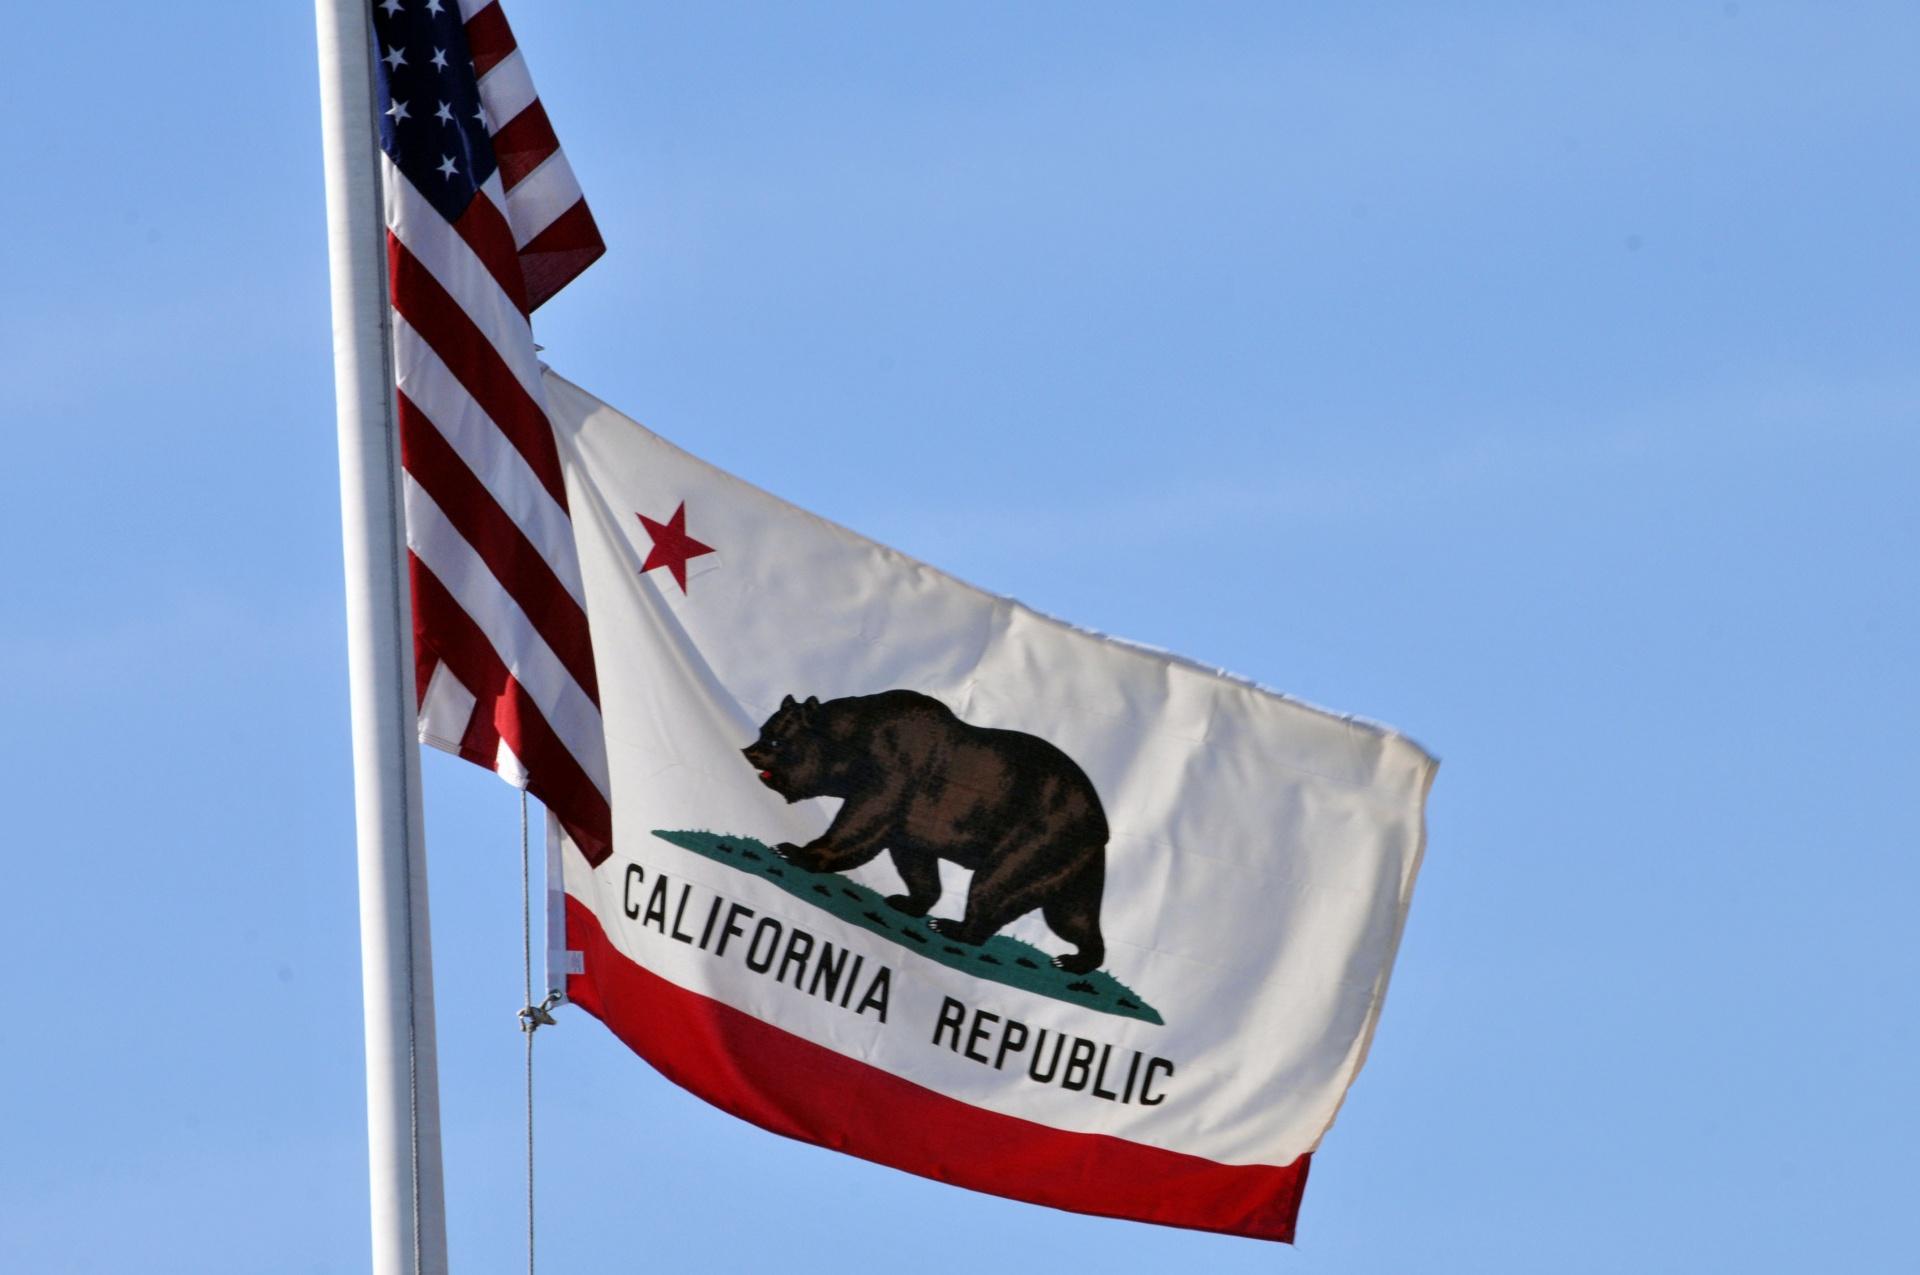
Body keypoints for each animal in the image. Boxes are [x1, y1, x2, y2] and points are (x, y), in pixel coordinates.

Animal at [744, 691, 1121, 971]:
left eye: (776, 742)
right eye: (763, 730)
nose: (749, 751)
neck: (852, 743)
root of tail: (1101, 824)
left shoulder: (894, 770)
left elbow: (860, 821)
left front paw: (795, 850)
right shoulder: (911, 823)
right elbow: (915, 861)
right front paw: (909, 900)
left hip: (1042, 834)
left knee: (996, 883)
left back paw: (954, 927)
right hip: (1074, 864)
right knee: (1072, 913)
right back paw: (1075, 959)